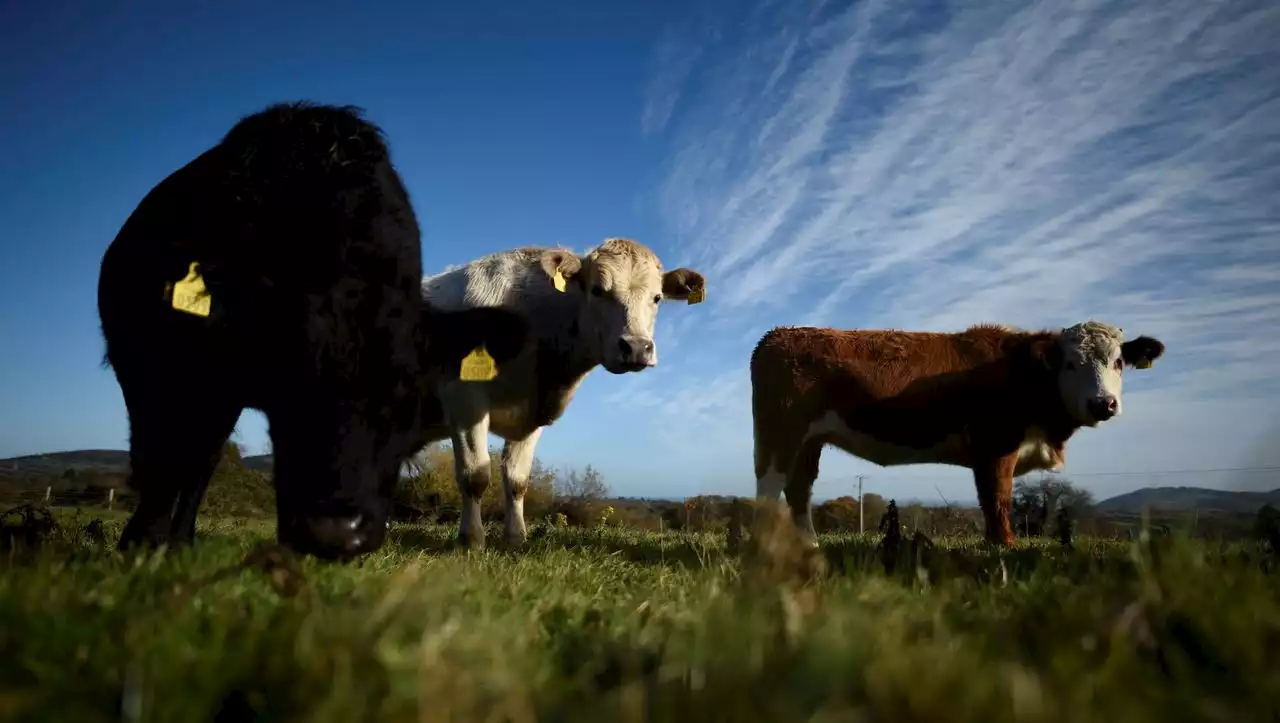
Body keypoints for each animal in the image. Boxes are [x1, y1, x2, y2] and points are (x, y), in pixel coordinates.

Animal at [93, 99, 524, 557]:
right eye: (281, 368)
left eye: (411, 397)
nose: (336, 532)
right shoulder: (151, 361)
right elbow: (164, 457)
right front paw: (141, 546)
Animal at [414, 236, 706, 547]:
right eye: (597, 290)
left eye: (657, 298)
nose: (637, 347)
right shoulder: (463, 398)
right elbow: (475, 474)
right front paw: (471, 539)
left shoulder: (532, 413)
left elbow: (517, 480)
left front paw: (516, 538)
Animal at [752, 321, 1167, 547]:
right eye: (1070, 364)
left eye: (1118, 362)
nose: (1103, 404)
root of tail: (779, 334)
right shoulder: (996, 443)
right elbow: (997, 497)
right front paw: (1004, 544)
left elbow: (989, 499)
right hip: (780, 433)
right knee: (770, 486)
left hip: (809, 442)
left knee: (799, 489)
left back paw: (810, 544)